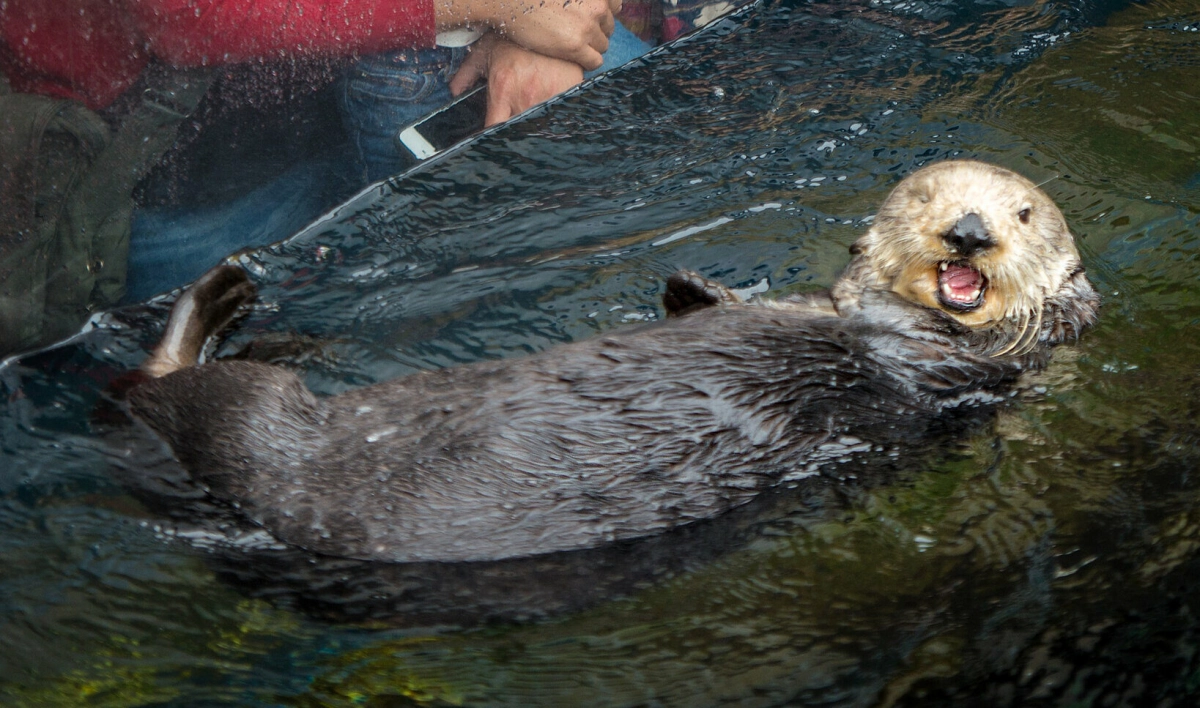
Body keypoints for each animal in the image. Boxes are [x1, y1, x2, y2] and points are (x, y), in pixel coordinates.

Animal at [126, 160, 1099, 566]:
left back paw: (219, 297)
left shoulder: (943, 362)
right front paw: (691, 287)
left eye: (1020, 214)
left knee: (163, 385)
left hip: (250, 423)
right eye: (924, 198)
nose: (966, 231)